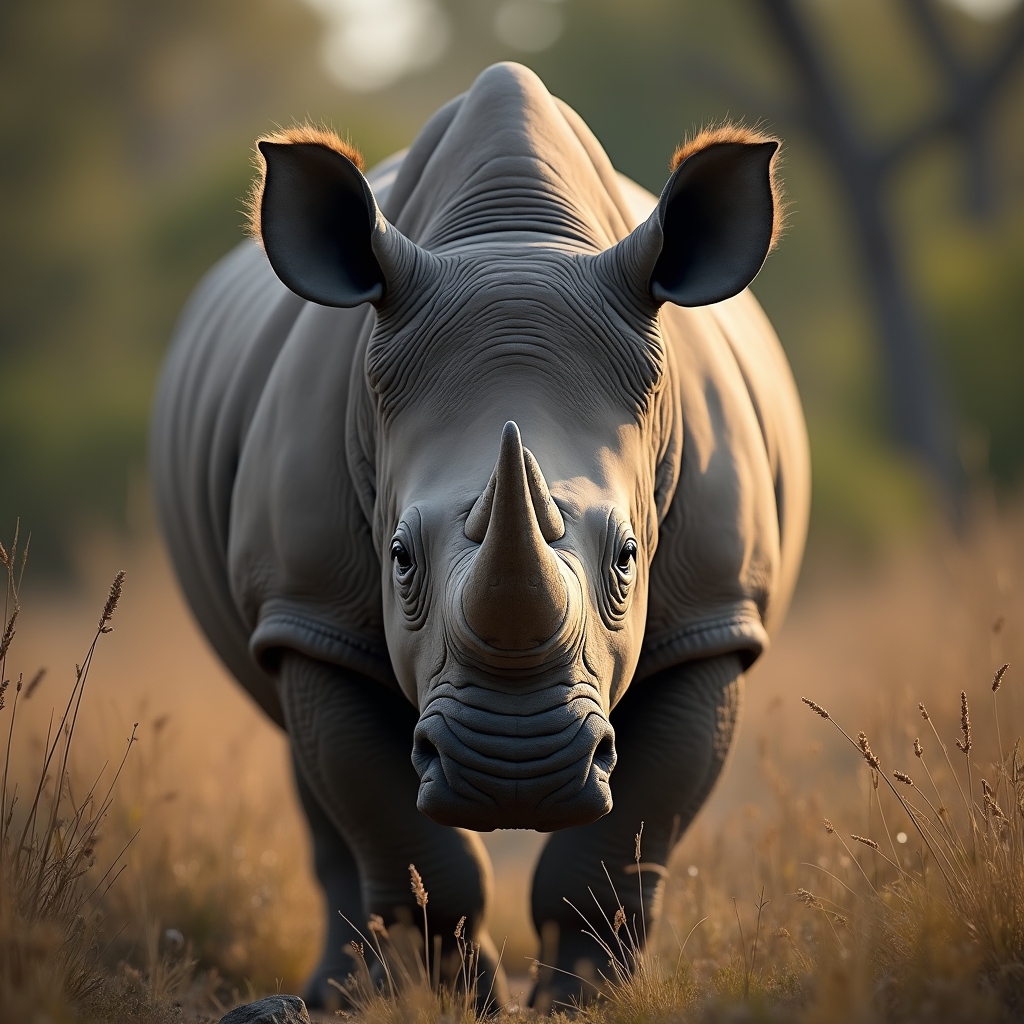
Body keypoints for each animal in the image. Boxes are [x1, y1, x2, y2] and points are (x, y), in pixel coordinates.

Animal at [151, 63, 808, 1008]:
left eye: (629, 557)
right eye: (397, 559)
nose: (516, 769)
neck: (515, 238)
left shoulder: (713, 620)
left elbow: (614, 853)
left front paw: (582, 1005)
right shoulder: (309, 607)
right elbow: (412, 847)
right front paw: (466, 1004)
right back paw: (336, 996)